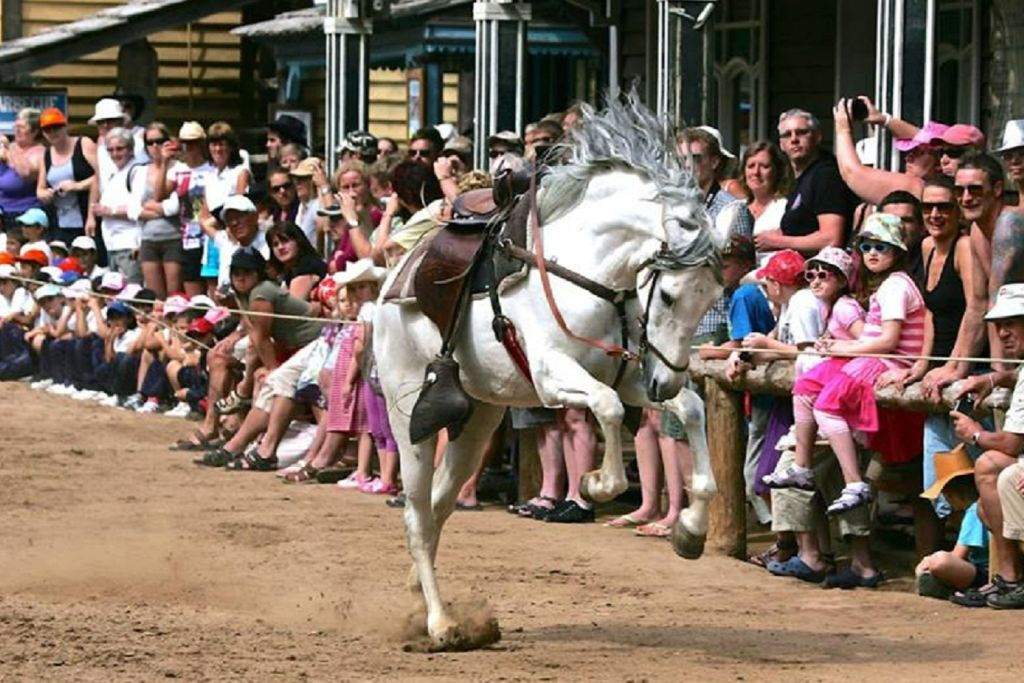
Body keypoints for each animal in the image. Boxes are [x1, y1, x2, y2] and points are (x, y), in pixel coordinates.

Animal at [376, 96, 737, 651]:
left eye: (713, 298)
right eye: (671, 296)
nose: (667, 381)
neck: (590, 266)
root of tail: (392, 279)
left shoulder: (629, 375)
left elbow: (692, 410)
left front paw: (691, 528)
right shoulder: (553, 374)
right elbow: (607, 410)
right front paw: (597, 484)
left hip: (477, 420)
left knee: (438, 507)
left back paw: (423, 597)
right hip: (410, 416)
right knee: (418, 514)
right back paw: (440, 624)